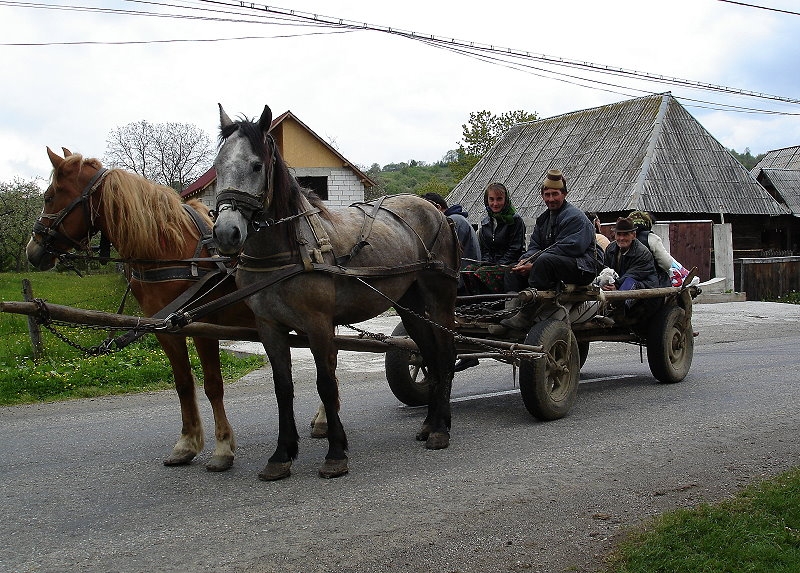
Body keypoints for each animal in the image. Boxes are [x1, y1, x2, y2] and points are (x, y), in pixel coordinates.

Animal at [25, 147, 328, 470]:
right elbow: (183, 384)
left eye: (49, 196)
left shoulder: (203, 327)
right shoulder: (165, 329)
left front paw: (223, 448)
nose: (32, 250)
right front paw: (187, 443)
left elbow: (213, 385)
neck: (171, 249)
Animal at [212, 105, 460, 480]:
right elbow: (283, 387)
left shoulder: (318, 326)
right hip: (409, 305)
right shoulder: (270, 327)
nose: (226, 233)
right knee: (428, 355)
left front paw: (335, 452)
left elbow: (326, 384)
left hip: (439, 300)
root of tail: (436, 211)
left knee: (444, 355)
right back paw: (430, 424)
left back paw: (441, 429)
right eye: (218, 166)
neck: (290, 250)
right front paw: (281, 455)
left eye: (256, 165)